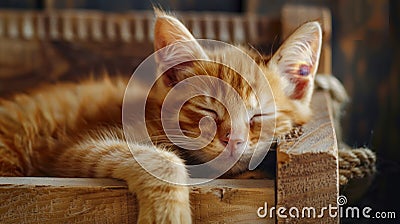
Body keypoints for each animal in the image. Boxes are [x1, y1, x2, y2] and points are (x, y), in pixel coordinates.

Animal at [0, 10, 322, 224]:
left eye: (260, 115)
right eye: (207, 110)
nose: (234, 140)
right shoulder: (71, 153)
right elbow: (162, 158)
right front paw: (168, 213)